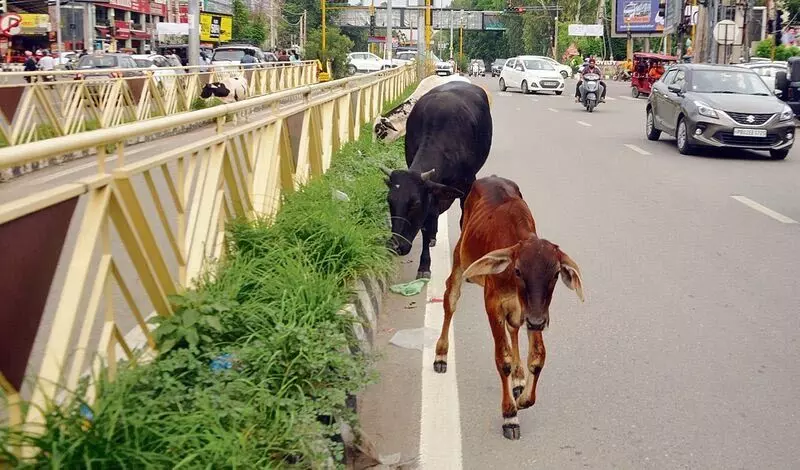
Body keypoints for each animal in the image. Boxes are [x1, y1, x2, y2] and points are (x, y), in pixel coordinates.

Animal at [382, 81, 494, 280]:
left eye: (415, 204)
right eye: (390, 201)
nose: (396, 246)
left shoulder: (466, 186)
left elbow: (463, 219)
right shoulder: (431, 193)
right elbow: (427, 226)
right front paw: (424, 264)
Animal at [434, 174, 584, 438]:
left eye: (556, 274)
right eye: (518, 270)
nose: (536, 322)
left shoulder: (533, 311)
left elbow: (538, 356)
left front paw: (523, 398)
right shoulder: (493, 305)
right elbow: (501, 358)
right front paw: (510, 415)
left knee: (513, 330)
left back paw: (518, 376)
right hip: (460, 260)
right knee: (450, 298)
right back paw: (441, 354)